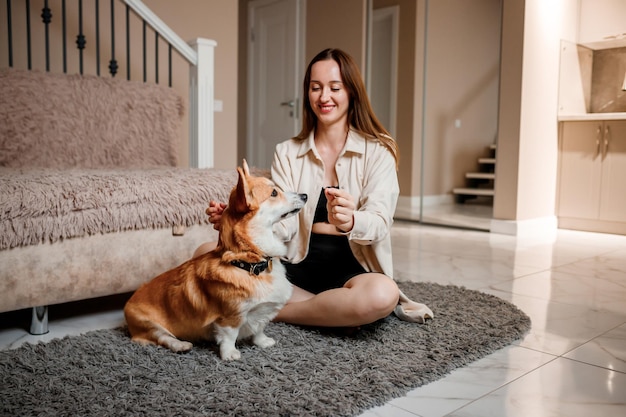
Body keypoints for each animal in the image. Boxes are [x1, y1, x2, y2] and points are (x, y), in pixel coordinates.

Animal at [122, 159, 308, 360]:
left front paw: (262, 342)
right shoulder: (230, 316)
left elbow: (259, 328)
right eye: (274, 193)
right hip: (147, 324)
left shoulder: (261, 313)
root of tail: (129, 302)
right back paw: (180, 345)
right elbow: (230, 335)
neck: (248, 264)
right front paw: (230, 354)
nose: (305, 195)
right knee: (162, 337)